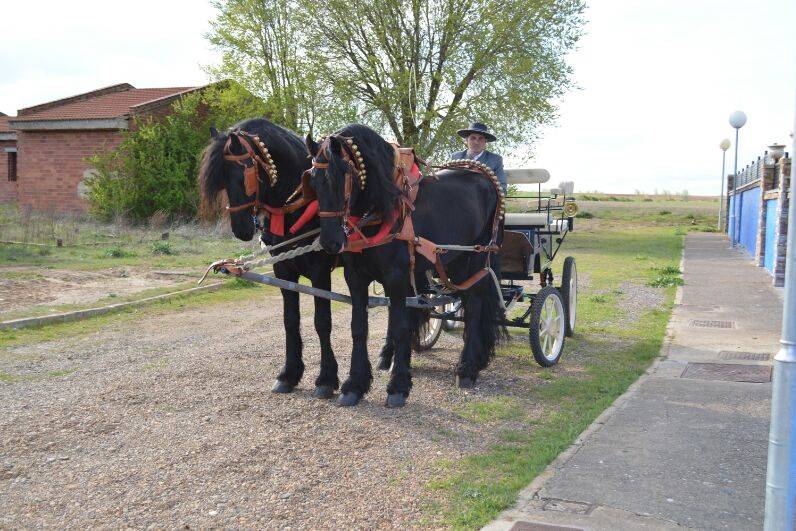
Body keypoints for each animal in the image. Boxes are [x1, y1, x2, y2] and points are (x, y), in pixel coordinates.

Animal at [197, 117, 340, 400]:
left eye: (242, 177)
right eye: (221, 181)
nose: (241, 230)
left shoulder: (320, 273)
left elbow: (322, 322)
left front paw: (326, 379)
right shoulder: (284, 272)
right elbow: (290, 321)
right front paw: (289, 374)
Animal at [304, 123, 504, 408]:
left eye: (344, 175)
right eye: (311, 179)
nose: (331, 241)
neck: (381, 206)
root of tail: (485, 177)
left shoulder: (397, 277)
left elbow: (399, 327)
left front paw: (398, 386)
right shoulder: (356, 277)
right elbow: (359, 328)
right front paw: (354, 385)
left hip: (475, 258)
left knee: (474, 305)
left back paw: (467, 369)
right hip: (453, 262)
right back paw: (475, 360)